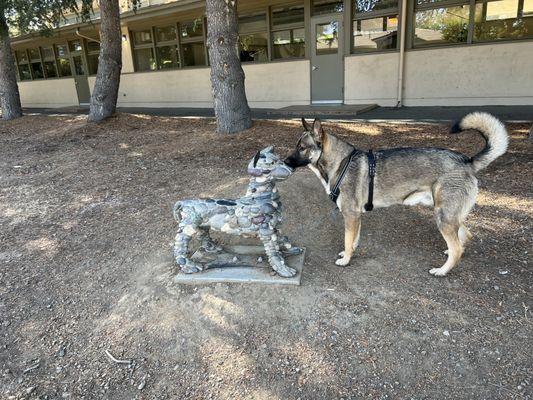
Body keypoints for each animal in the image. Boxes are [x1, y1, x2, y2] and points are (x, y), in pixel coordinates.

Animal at [284, 112, 510, 276]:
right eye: (296, 146)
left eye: (302, 148)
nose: (284, 161)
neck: (341, 163)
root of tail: (467, 161)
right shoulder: (356, 217)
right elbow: (354, 239)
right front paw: (351, 252)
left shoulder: (350, 215)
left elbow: (348, 240)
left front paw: (346, 259)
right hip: (448, 215)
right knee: (464, 239)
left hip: (443, 216)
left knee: (457, 249)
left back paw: (442, 270)